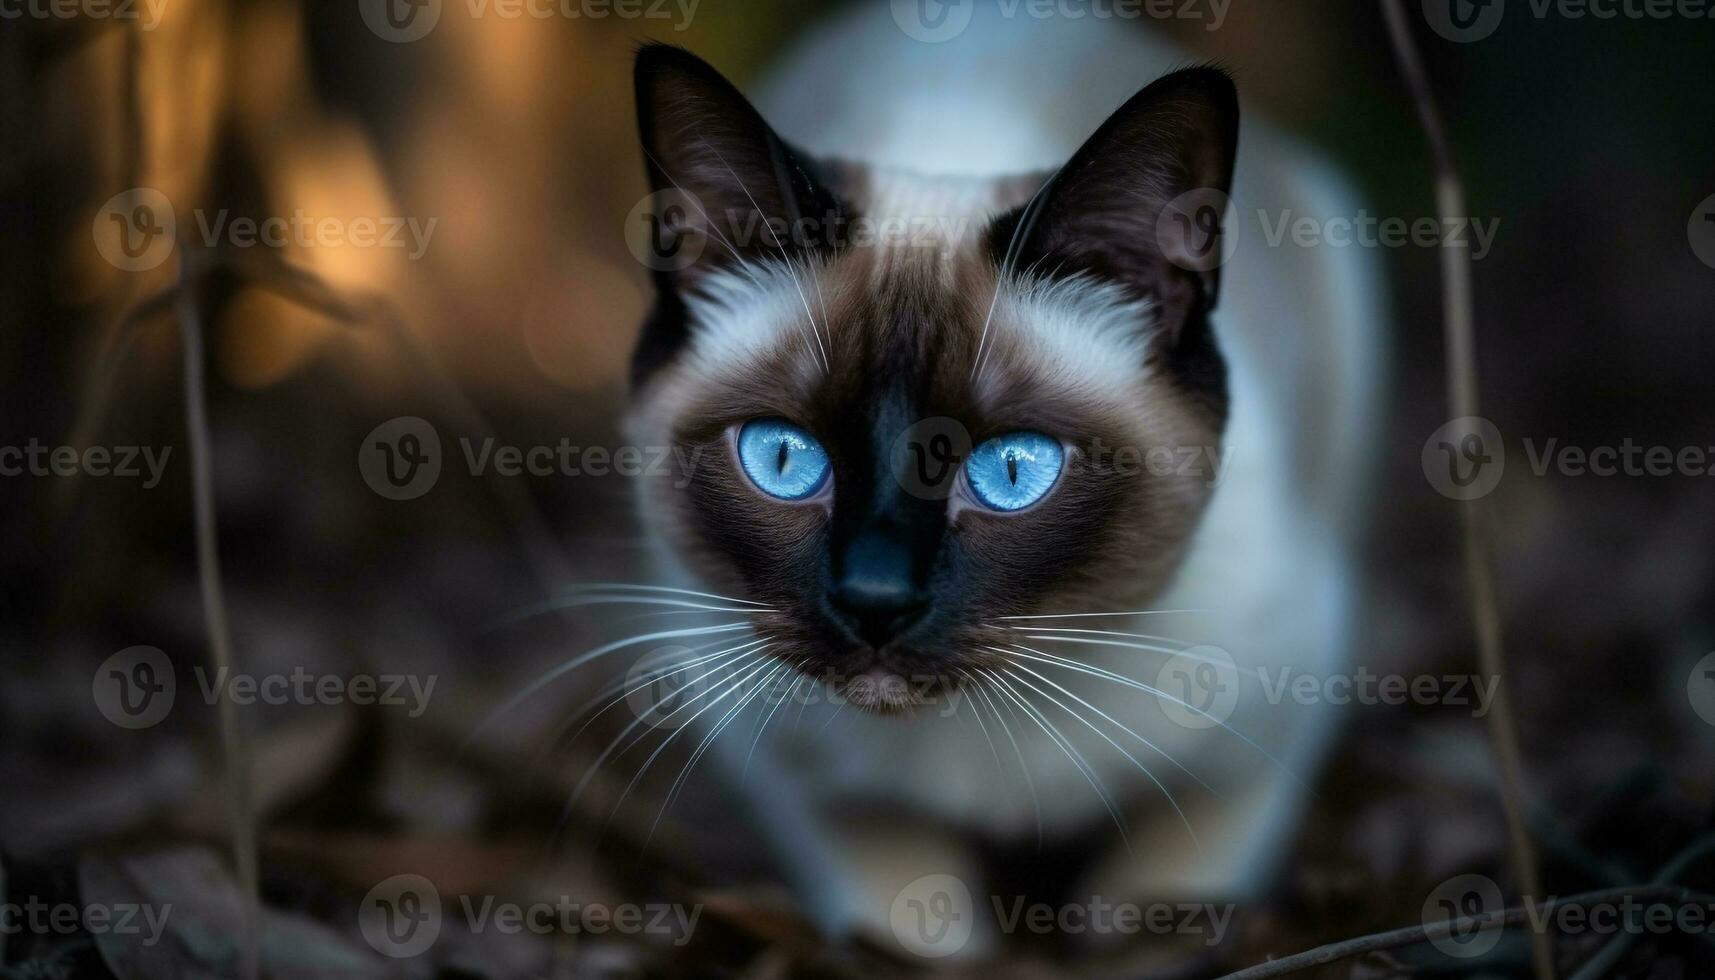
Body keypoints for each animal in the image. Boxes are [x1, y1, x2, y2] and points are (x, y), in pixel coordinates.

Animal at [617, 0, 1378, 954]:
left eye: (1011, 471)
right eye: (784, 460)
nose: (874, 600)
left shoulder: (1260, 749)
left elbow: (1158, 906)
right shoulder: (804, 781)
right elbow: (919, 928)